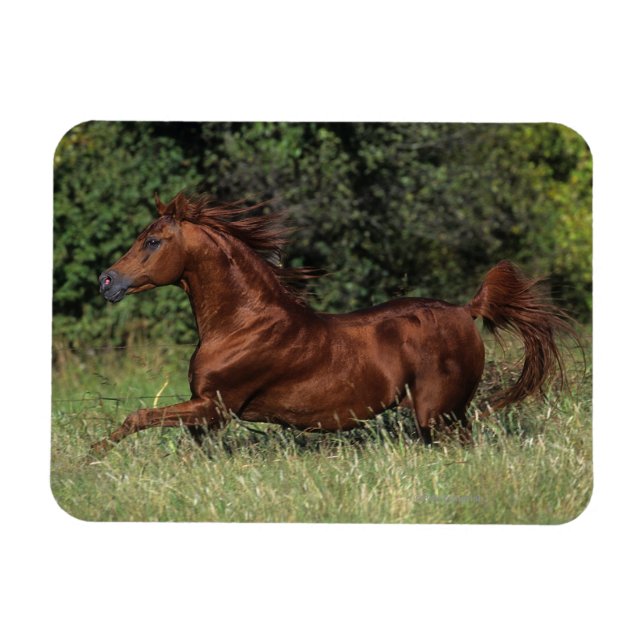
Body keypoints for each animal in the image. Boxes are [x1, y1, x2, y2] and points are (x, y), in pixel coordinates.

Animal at [92, 192, 575, 454]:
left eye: (153, 241)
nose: (106, 280)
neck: (243, 324)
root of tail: (465, 310)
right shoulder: (205, 414)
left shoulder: (215, 407)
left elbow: (137, 416)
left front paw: (92, 456)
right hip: (445, 415)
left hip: (437, 414)